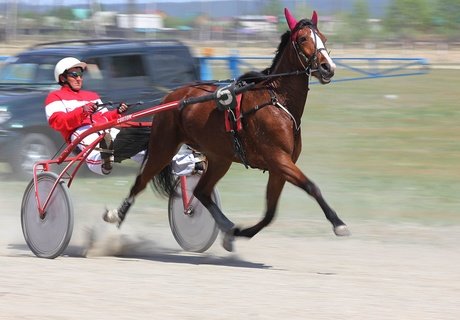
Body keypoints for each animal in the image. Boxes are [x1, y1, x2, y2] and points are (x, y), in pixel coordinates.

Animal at [103, 8, 348, 252]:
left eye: (324, 38)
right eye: (303, 38)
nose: (328, 67)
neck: (277, 102)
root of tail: (170, 97)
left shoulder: (279, 167)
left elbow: (270, 213)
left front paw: (240, 232)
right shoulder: (278, 159)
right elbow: (311, 186)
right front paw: (339, 223)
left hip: (219, 157)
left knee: (201, 192)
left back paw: (227, 228)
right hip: (163, 147)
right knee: (140, 182)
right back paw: (117, 215)